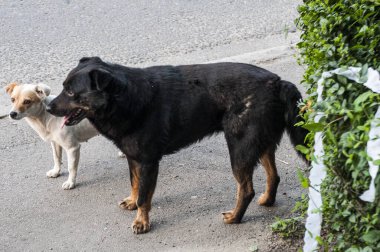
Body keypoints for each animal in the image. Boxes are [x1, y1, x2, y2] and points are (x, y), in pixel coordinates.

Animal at [47, 57, 308, 234]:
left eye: (70, 91)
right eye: (63, 86)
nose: (48, 107)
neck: (125, 98)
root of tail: (277, 82)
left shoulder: (149, 162)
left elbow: (144, 196)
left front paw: (142, 222)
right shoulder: (134, 158)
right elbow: (135, 184)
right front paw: (132, 201)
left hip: (240, 148)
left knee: (246, 189)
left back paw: (235, 217)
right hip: (260, 144)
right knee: (273, 176)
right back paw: (267, 200)